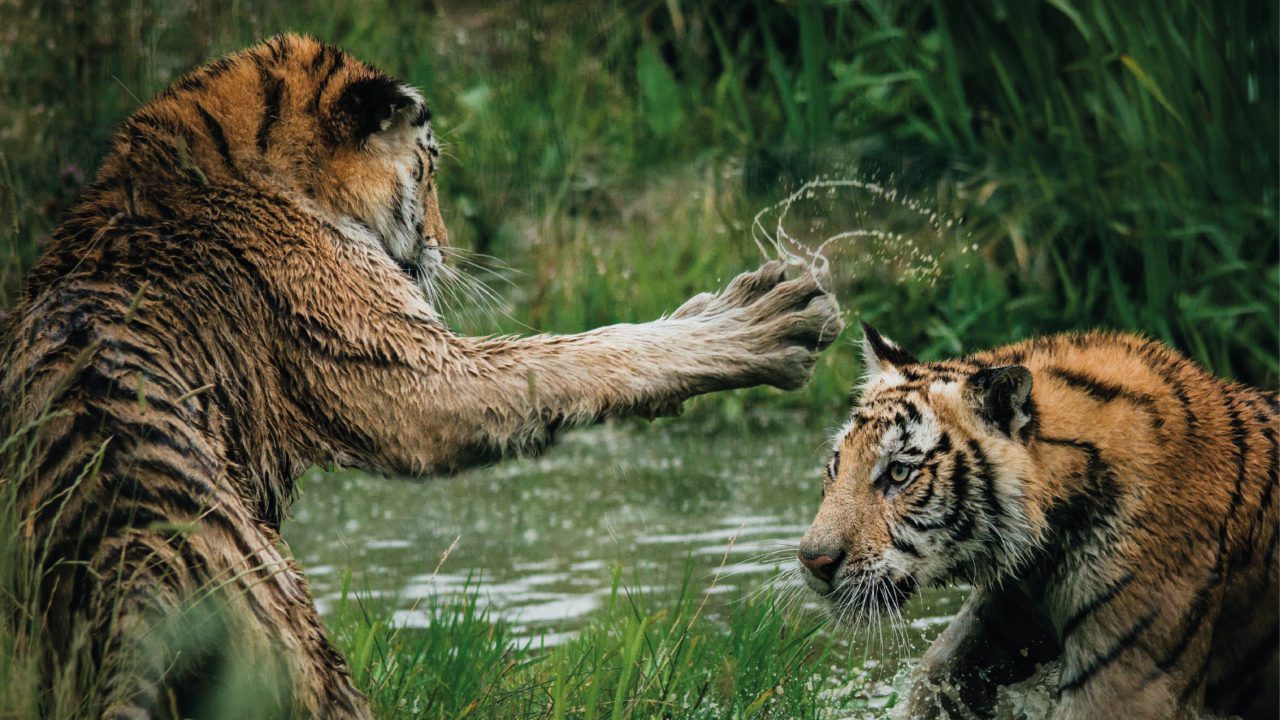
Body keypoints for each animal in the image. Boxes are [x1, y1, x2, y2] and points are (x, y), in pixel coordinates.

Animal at [0, 33, 843, 719]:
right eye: (430, 169)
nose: (443, 244)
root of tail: (133, 584)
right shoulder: (415, 373)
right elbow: (578, 355)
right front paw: (764, 320)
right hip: (308, 659)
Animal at [797, 323, 1277, 719]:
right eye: (837, 465)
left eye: (899, 473)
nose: (812, 561)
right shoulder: (1004, 617)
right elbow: (935, 677)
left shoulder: (1128, 684)